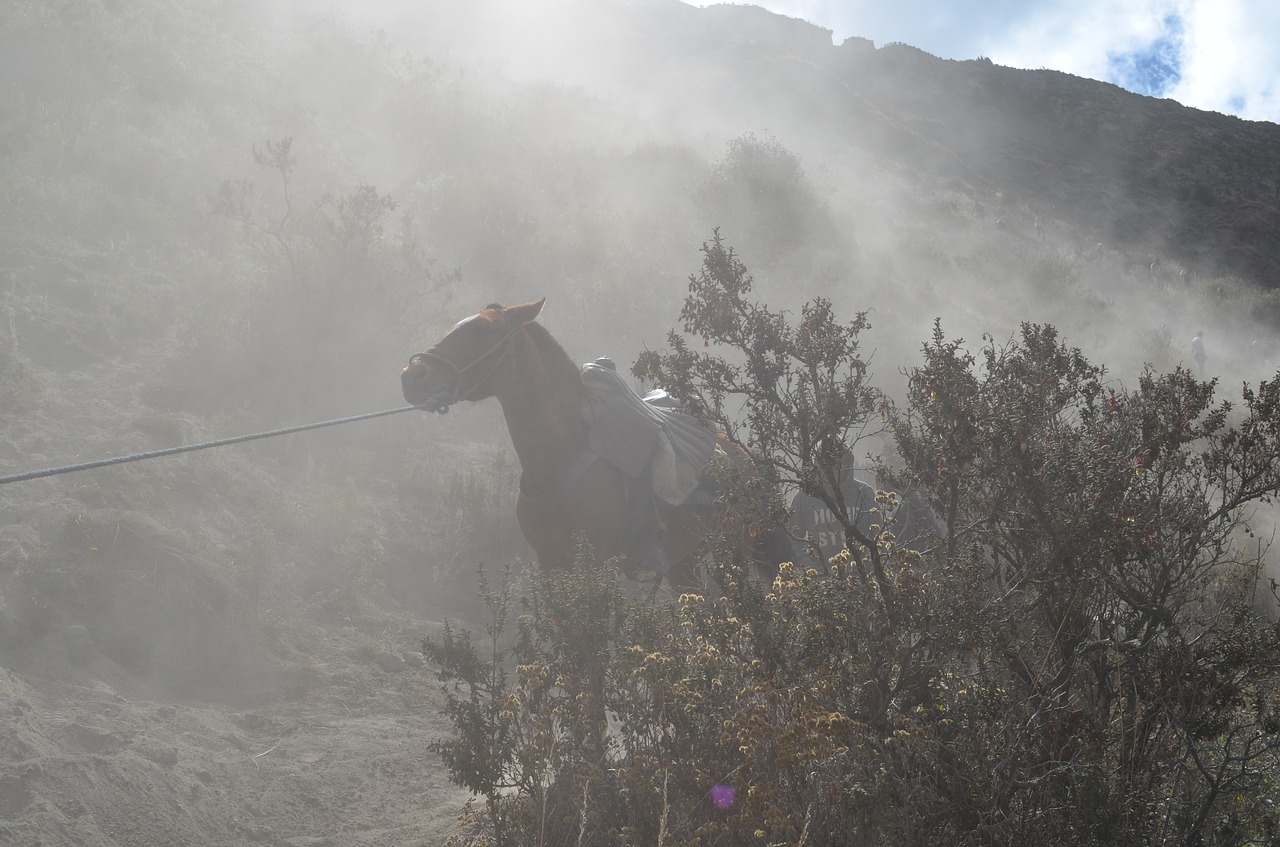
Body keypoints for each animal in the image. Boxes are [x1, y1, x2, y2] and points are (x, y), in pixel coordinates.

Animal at [396, 303, 788, 591]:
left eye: (483, 330)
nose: (412, 375)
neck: (558, 461)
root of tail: (745, 457)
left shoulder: (597, 568)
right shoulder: (552, 566)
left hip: (733, 557)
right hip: (685, 561)